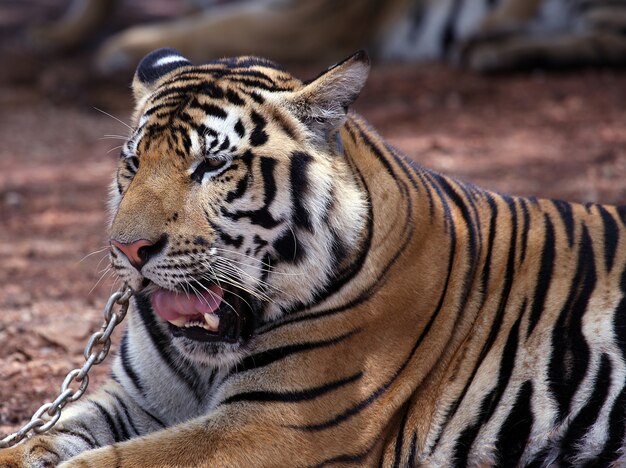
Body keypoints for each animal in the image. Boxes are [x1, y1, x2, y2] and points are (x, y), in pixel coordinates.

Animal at [1, 48, 624, 468]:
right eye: (133, 163)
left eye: (211, 165)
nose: (127, 249)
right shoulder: (136, 401)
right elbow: (36, 439)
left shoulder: (274, 424)